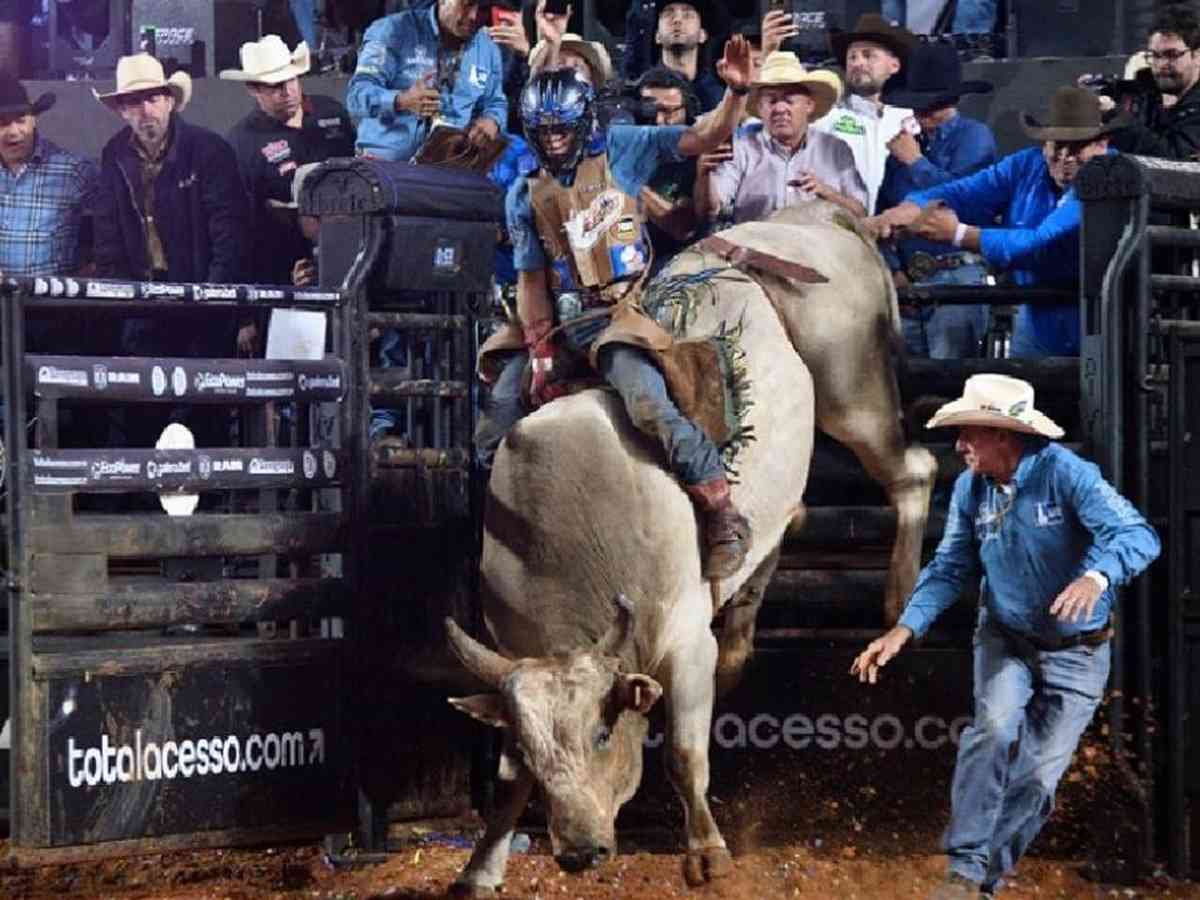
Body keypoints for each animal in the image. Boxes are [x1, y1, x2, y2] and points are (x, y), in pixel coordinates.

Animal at [444, 206, 936, 897]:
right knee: (779, 528)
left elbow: (682, 752)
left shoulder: (682, 642)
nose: (579, 851)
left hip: (855, 393)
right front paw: (481, 866)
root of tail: (812, 214)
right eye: (540, 752)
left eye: (602, 733)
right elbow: (510, 784)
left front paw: (706, 851)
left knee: (914, 472)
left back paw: (898, 598)